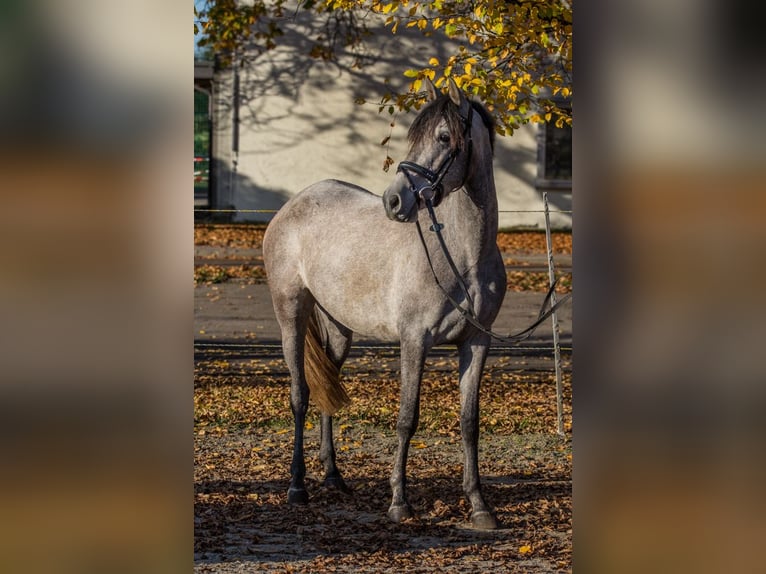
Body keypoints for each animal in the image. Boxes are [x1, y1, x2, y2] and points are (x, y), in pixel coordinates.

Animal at [264, 77, 510, 532]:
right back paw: (297, 487)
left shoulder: (477, 343)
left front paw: (479, 505)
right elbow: (406, 419)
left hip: (339, 330)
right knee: (300, 394)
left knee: (327, 390)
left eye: (444, 137)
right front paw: (399, 502)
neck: (462, 255)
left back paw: (334, 477)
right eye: (412, 138)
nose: (393, 202)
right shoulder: (414, 341)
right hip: (291, 313)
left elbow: (469, 422)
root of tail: (294, 204)